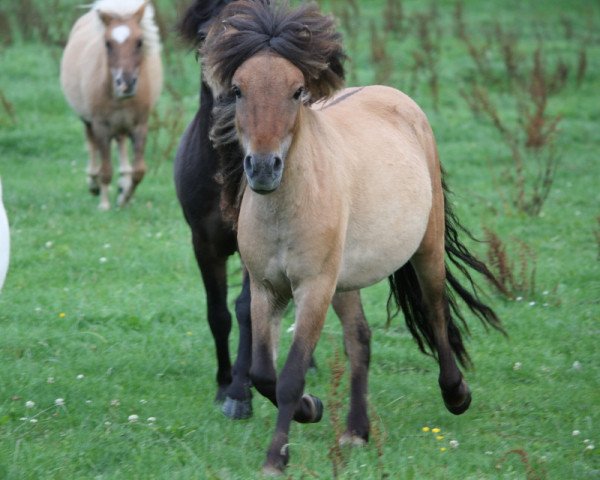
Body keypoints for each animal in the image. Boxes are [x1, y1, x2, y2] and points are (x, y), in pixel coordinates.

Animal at [59, 0, 162, 210]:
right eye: (107, 43)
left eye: (140, 42)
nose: (126, 84)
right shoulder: (101, 126)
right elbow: (105, 169)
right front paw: (104, 204)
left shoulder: (140, 126)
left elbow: (139, 171)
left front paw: (124, 198)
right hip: (88, 121)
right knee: (92, 146)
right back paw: (93, 183)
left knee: (120, 142)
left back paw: (122, 183)